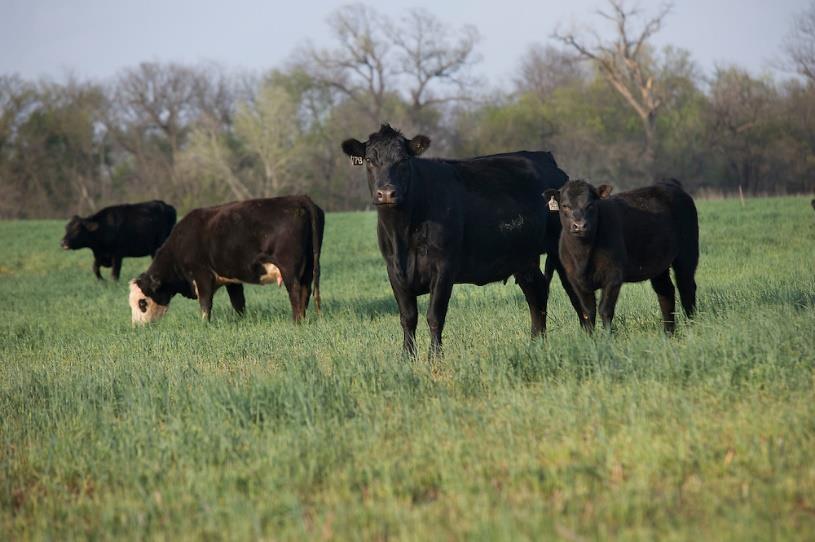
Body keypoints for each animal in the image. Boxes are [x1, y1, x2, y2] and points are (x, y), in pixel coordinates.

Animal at [127, 199, 322, 330]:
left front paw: (204, 325)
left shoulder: (202, 275)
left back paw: (296, 322)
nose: (137, 328)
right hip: (308, 269)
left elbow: (206, 304)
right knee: (305, 292)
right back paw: (303, 319)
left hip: (289, 269)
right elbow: (238, 303)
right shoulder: (232, 281)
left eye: (142, 303)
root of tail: (299, 199)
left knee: (295, 292)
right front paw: (243, 321)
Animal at [342, 125, 584, 360]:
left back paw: (587, 335)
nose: (386, 193)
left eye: (403, 160)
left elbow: (435, 316)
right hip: (523, 257)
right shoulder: (394, 270)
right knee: (537, 293)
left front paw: (435, 358)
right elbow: (408, 317)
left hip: (561, 249)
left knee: (574, 291)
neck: (402, 234)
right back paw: (536, 344)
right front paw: (407, 358)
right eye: (370, 160)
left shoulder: (444, 266)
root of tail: (547, 159)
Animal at [544, 181, 700, 334]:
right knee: (665, 291)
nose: (580, 225)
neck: (583, 257)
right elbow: (588, 312)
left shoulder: (613, 276)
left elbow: (605, 310)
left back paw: (691, 324)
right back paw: (668, 332)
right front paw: (590, 337)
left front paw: (607, 337)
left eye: (591, 205)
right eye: (565, 205)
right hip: (659, 264)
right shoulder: (576, 280)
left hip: (687, 254)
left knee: (686, 287)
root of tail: (671, 186)